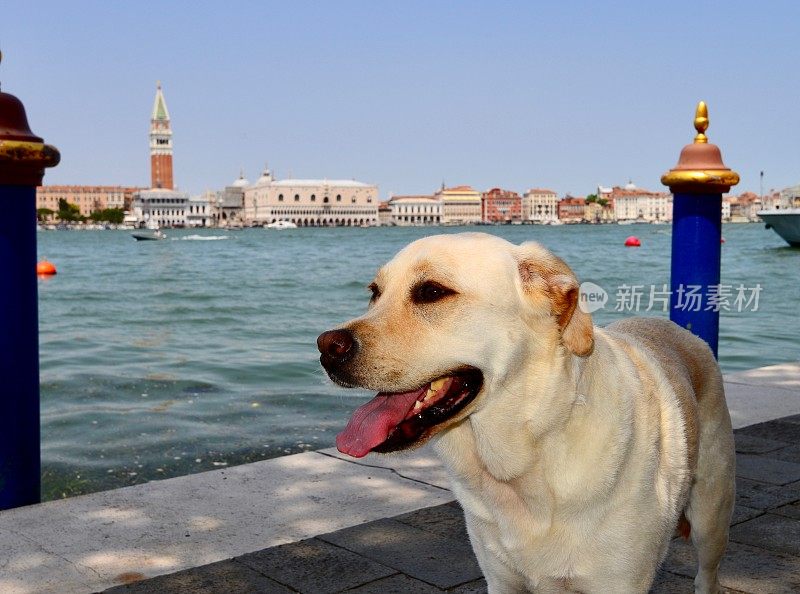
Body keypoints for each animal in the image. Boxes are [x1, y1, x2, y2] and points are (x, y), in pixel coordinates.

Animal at [318, 234, 736, 588]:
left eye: (432, 291)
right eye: (374, 293)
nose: (326, 346)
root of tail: (678, 328)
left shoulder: (618, 583)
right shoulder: (501, 579)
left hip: (711, 517)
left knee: (707, 576)